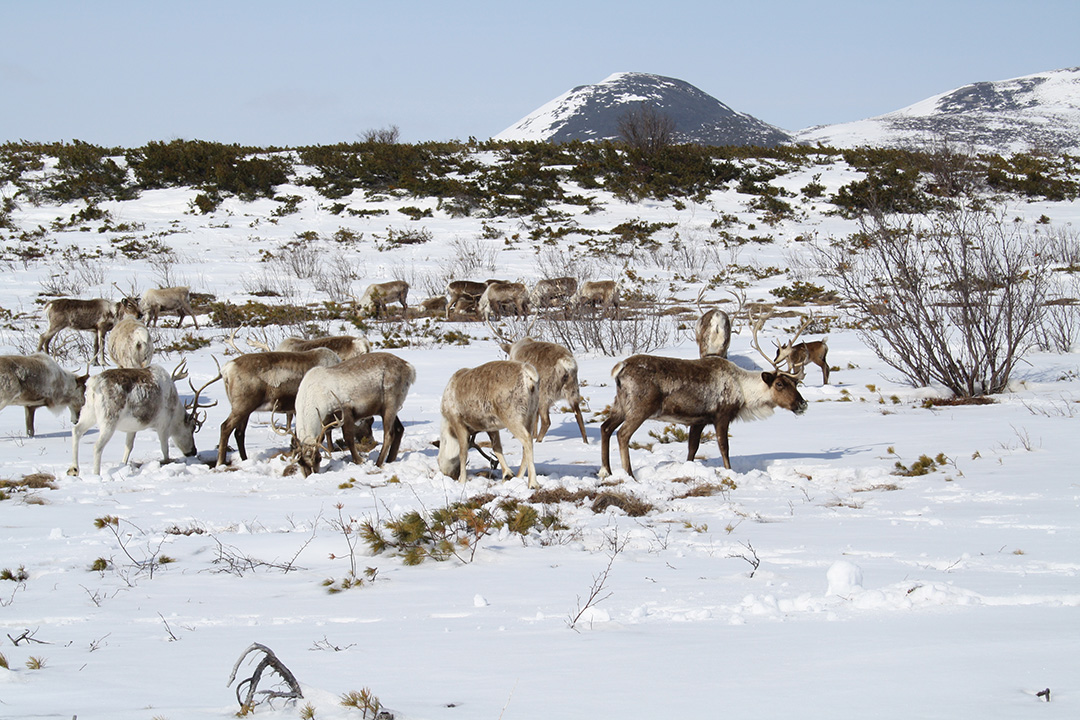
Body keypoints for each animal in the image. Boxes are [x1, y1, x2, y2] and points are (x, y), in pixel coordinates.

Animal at [67, 360, 217, 476]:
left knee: (76, 430)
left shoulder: (132, 428)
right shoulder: (163, 425)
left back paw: (74, 469)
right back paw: (96, 475)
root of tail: (94, 385)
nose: (193, 451)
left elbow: (128, 447)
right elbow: (165, 450)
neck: (175, 411)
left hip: (89, 412)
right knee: (97, 446)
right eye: (192, 428)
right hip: (109, 419)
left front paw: (123, 465)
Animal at [287, 352, 416, 476]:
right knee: (399, 429)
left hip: (390, 404)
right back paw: (389, 460)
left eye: (319, 458)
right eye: (300, 461)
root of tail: (409, 367)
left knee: (389, 434)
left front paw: (359, 460)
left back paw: (379, 462)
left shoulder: (345, 411)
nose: (309, 475)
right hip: (385, 409)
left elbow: (348, 438)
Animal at [437, 360, 541, 489]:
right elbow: (497, 448)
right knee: (527, 442)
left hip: (512, 416)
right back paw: (519, 476)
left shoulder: (459, 423)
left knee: (527, 439)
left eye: (438, 460)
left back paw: (533, 483)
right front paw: (507, 474)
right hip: (531, 415)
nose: (448, 474)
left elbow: (463, 453)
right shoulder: (491, 427)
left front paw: (462, 481)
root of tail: (529, 376)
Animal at [599, 312, 808, 479]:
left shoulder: (698, 421)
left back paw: (606, 471)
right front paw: (729, 471)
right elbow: (724, 447)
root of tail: (620, 367)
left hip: (620, 404)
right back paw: (629, 475)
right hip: (640, 407)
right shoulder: (721, 415)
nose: (802, 404)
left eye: (796, 383)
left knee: (605, 427)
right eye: (780, 384)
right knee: (622, 434)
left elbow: (692, 448)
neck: (744, 391)